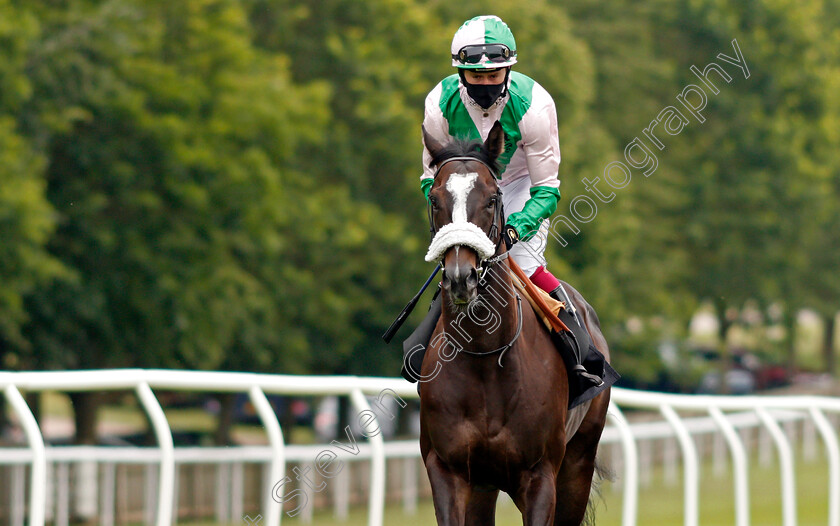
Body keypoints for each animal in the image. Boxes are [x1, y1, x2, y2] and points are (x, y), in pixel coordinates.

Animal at [418, 121, 612, 524]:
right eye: (435, 200)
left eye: (492, 198)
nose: (460, 278)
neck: (484, 358)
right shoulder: (448, 470)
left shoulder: (540, 477)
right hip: (484, 486)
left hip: (578, 465)